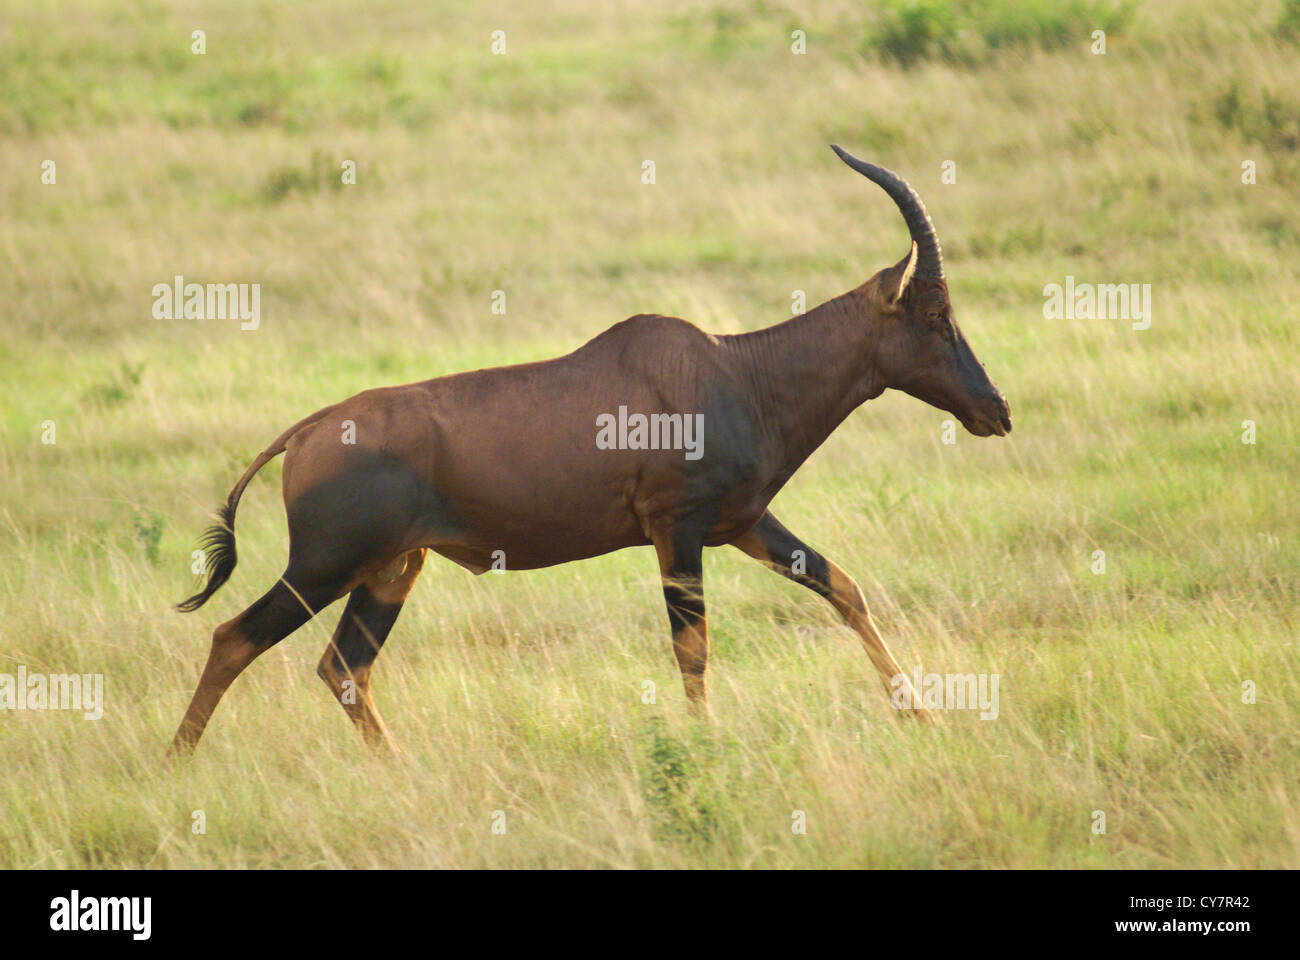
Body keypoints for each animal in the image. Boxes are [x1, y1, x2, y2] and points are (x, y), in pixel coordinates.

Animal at [172, 145, 1008, 749]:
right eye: (936, 313)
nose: (996, 411)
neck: (733, 369)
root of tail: (308, 431)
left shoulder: (740, 525)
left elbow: (843, 587)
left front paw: (922, 714)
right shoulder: (677, 529)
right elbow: (692, 647)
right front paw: (706, 747)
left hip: (389, 571)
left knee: (343, 667)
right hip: (325, 566)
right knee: (233, 638)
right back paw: (177, 765)